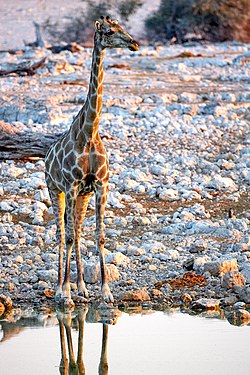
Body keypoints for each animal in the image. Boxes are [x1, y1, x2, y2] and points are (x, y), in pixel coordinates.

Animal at [45, 15, 139, 308]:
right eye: (108, 31)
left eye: (122, 27)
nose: (134, 43)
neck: (89, 133)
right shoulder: (71, 185)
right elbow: (68, 236)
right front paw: (65, 295)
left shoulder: (99, 185)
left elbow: (99, 235)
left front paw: (105, 292)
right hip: (55, 190)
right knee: (62, 233)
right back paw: (59, 289)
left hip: (81, 196)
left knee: (76, 232)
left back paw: (82, 288)